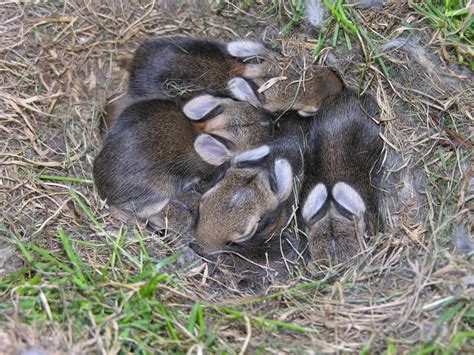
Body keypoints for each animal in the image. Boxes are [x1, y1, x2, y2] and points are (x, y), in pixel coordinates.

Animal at [93, 94, 270, 231]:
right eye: (254, 143)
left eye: (242, 104)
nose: (269, 120)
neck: (204, 130)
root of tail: (100, 188)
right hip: (161, 192)